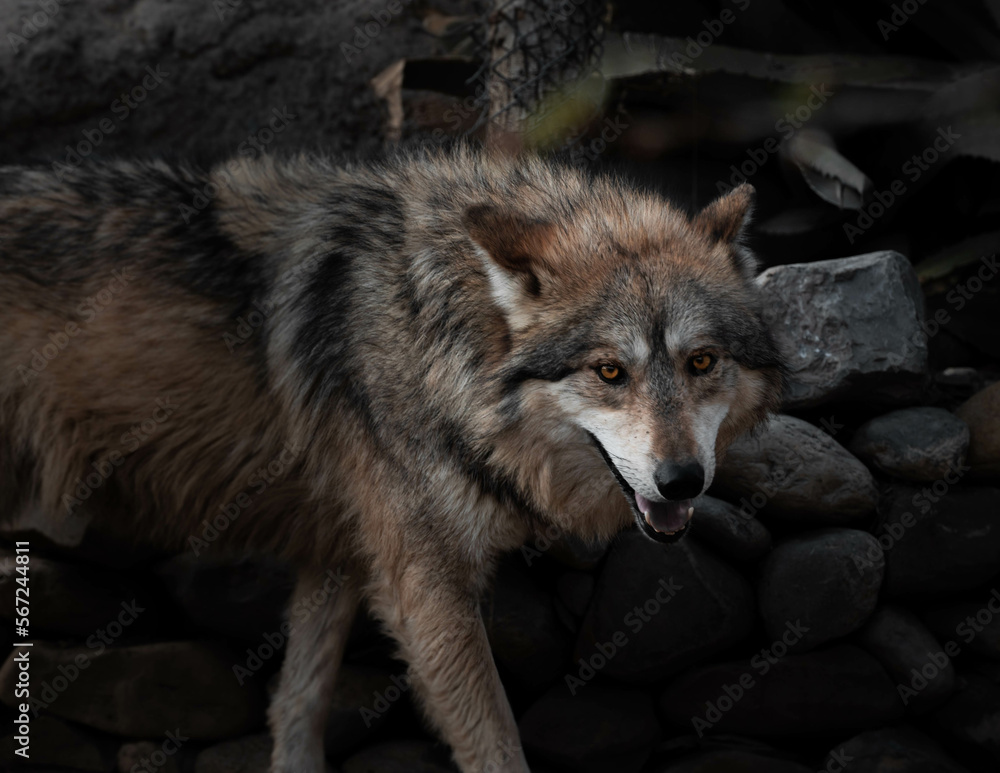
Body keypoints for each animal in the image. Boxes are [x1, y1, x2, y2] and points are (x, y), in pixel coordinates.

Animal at [0, 146, 784, 773]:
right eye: (610, 371)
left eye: (701, 361)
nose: (682, 480)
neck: (438, 340)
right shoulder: (424, 586)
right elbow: (496, 747)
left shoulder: (342, 554)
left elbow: (298, 707)